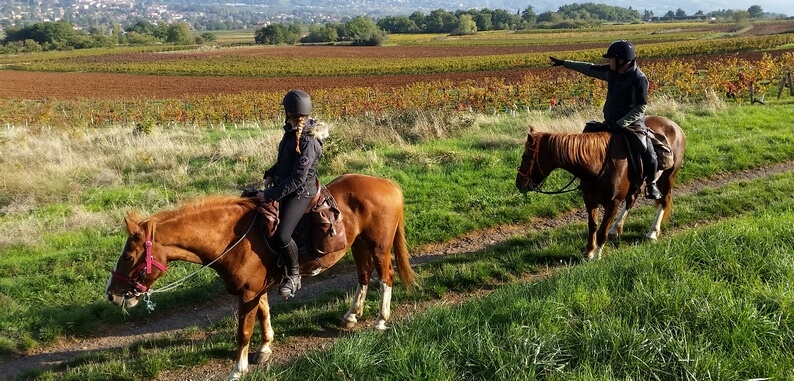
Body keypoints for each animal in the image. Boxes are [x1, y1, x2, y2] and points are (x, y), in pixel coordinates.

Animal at [104, 173, 414, 380]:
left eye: (128, 257)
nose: (111, 294)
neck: (232, 237)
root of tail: (387, 183)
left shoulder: (248, 293)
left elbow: (243, 331)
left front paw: (237, 368)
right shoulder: (257, 289)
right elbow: (264, 314)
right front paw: (265, 348)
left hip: (379, 246)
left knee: (385, 277)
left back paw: (381, 320)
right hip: (359, 244)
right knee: (363, 276)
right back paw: (351, 316)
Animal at [516, 115, 684, 258]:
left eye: (525, 157)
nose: (518, 184)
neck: (599, 163)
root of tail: (675, 126)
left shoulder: (613, 203)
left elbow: (602, 230)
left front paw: (597, 255)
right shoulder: (590, 200)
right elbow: (593, 226)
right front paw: (588, 252)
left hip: (668, 177)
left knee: (663, 200)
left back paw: (652, 233)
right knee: (632, 200)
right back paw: (616, 229)